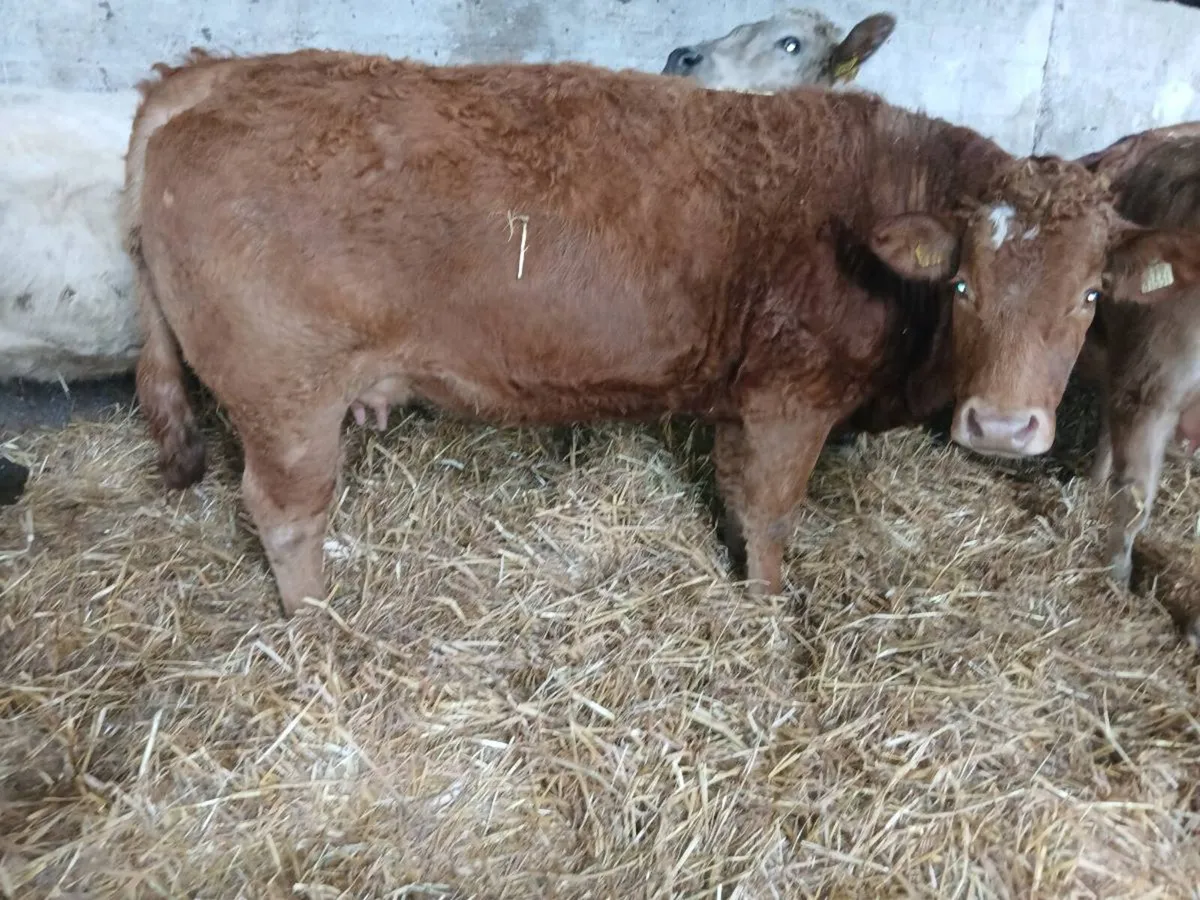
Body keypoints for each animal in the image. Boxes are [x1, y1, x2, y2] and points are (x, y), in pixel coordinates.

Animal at [122, 49, 1166, 617]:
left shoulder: (745, 401)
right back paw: (321, 625)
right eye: (963, 283)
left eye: (1089, 297)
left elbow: (739, 497)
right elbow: (775, 516)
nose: (1006, 428)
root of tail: (212, 78)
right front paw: (768, 615)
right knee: (286, 513)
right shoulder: (793, 398)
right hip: (285, 395)